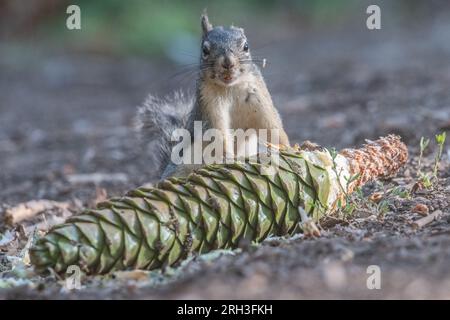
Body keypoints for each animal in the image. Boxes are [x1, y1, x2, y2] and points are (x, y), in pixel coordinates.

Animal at [137, 12, 290, 179]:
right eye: (205, 50)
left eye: (246, 46)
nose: (228, 62)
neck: (231, 88)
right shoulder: (208, 103)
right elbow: (217, 131)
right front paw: (227, 158)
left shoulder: (259, 97)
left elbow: (271, 125)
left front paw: (287, 147)